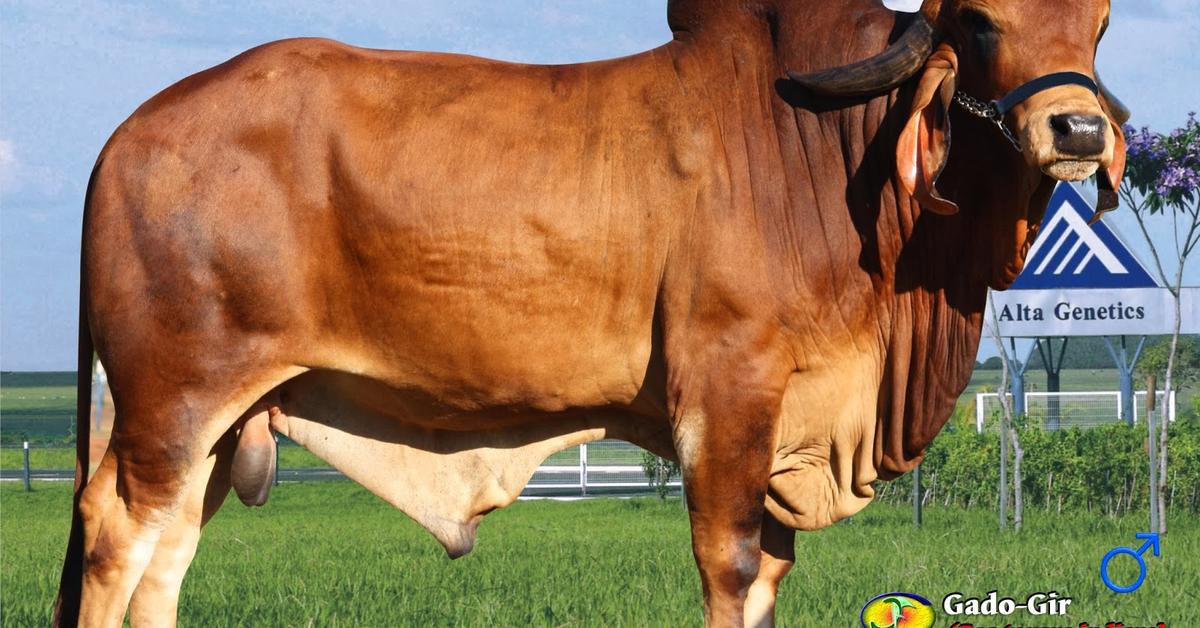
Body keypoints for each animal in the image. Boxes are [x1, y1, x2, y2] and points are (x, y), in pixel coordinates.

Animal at [56, 0, 1123, 624]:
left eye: (1102, 19)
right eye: (978, 19)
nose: (1076, 129)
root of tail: (127, 133)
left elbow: (771, 575)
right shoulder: (727, 397)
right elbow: (732, 565)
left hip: (214, 425)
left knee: (167, 554)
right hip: (172, 399)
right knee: (117, 536)